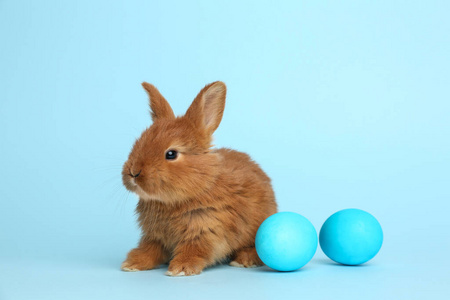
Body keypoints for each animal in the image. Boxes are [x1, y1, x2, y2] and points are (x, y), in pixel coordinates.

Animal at [121, 80, 276, 276]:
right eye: (139, 142)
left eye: (171, 154)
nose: (134, 172)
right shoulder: (154, 236)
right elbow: (149, 250)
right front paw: (132, 263)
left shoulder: (206, 231)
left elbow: (194, 250)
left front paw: (180, 268)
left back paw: (244, 260)